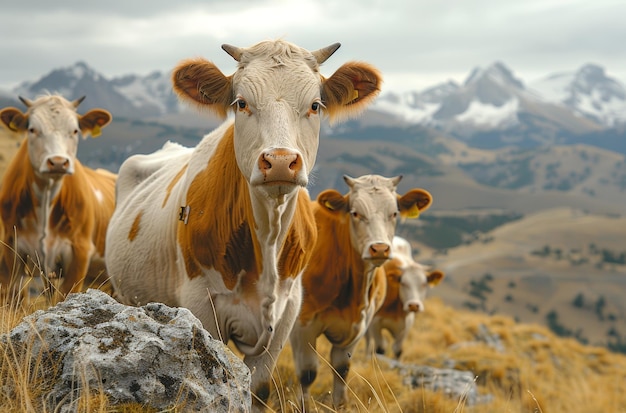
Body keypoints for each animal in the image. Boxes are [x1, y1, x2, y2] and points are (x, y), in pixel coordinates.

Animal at [103, 40, 380, 408]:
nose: (280, 161)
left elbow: (258, 390)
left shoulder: (288, 313)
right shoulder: (200, 305)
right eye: (242, 103)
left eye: (315, 105)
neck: (268, 237)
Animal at [288, 173, 432, 406]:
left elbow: (341, 370)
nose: (380, 248)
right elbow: (308, 373)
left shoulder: (359, 327)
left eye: (394, 213)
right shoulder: (301, 326)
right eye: (355, 213)